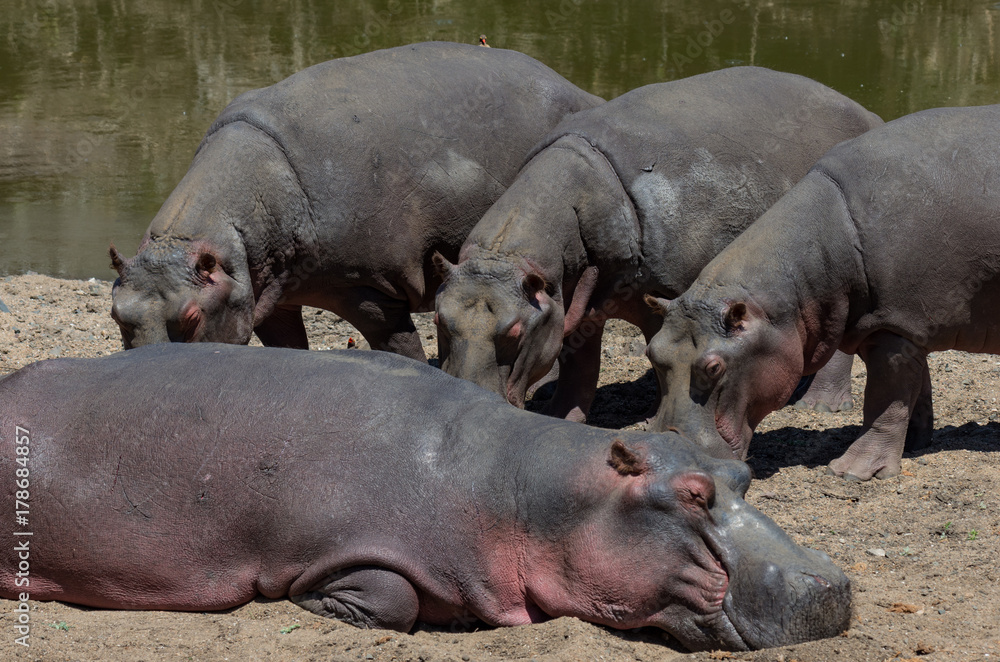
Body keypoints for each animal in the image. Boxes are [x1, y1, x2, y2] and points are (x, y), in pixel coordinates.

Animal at [0, 344, 850, 651]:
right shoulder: (352, 546)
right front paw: (319, 606)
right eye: (694, 493)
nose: (831, 582)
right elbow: (389, 597)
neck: (525, 488)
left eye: (741, 479)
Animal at [108, 42, 603, 356]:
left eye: (192, 318)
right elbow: (288, 344)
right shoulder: (267, 297)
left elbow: (400, 347)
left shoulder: (370, 289)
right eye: (116, 316)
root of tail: (585, 92)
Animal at [432, 66, 881, 422]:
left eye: (514, 331)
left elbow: (657, 351)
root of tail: (870, 112)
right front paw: (561, 417)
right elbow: (578, 365)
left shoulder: (664, 294)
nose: (463, 400)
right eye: (438, 318)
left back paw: (820, 406)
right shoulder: (579, 295)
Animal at [644, 104, 1000, 480]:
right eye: (652, 352)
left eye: (713, 367)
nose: (665, 451)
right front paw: (915, 444)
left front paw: (851, 472)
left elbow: (884, 403)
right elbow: (916, 392)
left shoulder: (894, 327)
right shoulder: (900, 325)